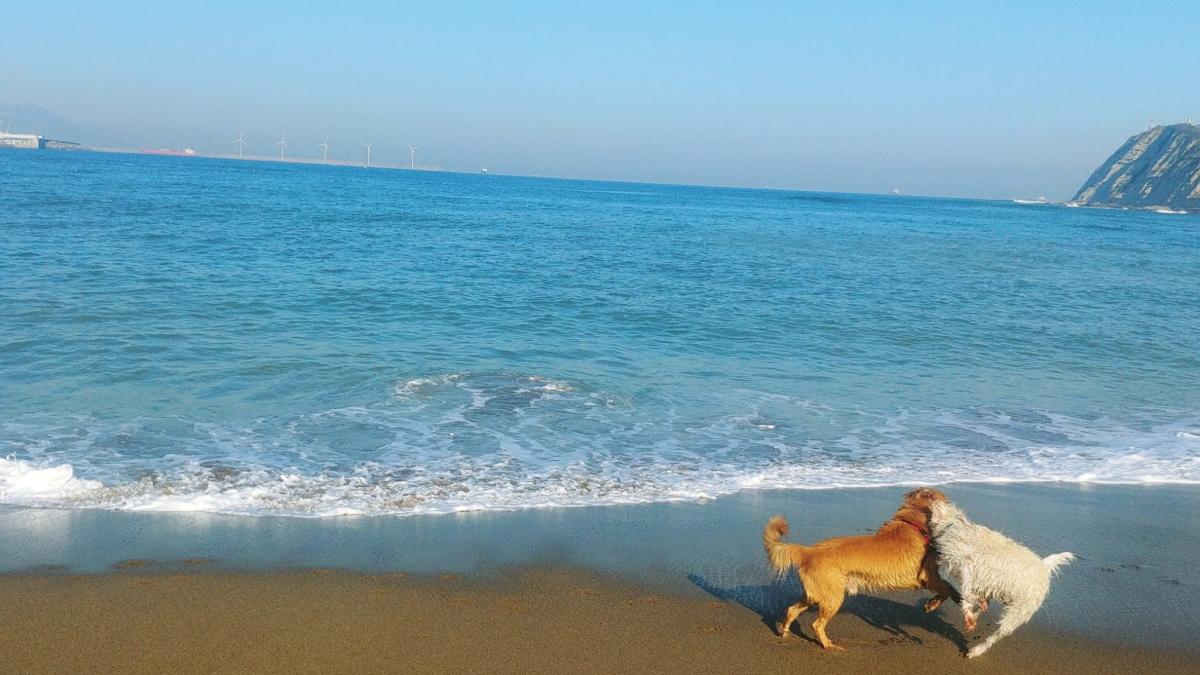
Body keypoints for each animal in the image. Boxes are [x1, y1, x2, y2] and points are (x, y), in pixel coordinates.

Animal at [768, 485, 955, 648]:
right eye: (946, 500)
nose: (953, 504)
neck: (913, 524)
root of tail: (808, 551)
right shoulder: (928, 577)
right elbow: (947, 588)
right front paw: (935, 603)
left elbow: (948, 588)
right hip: (833, 597)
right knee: (817, 624)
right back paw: (829, 646)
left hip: (816, 595)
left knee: (792, 610)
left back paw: (785, 632)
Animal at [921, 497, 1075, 653]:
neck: (952, 525)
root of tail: (1045, 566)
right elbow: (968, 594)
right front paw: (970, 610)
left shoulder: (966, 564)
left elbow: (966, 591)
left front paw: (971, 605)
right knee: (986, 605)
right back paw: (973, 616)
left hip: (1018, 613)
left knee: (997, 634)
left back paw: (977, 650)